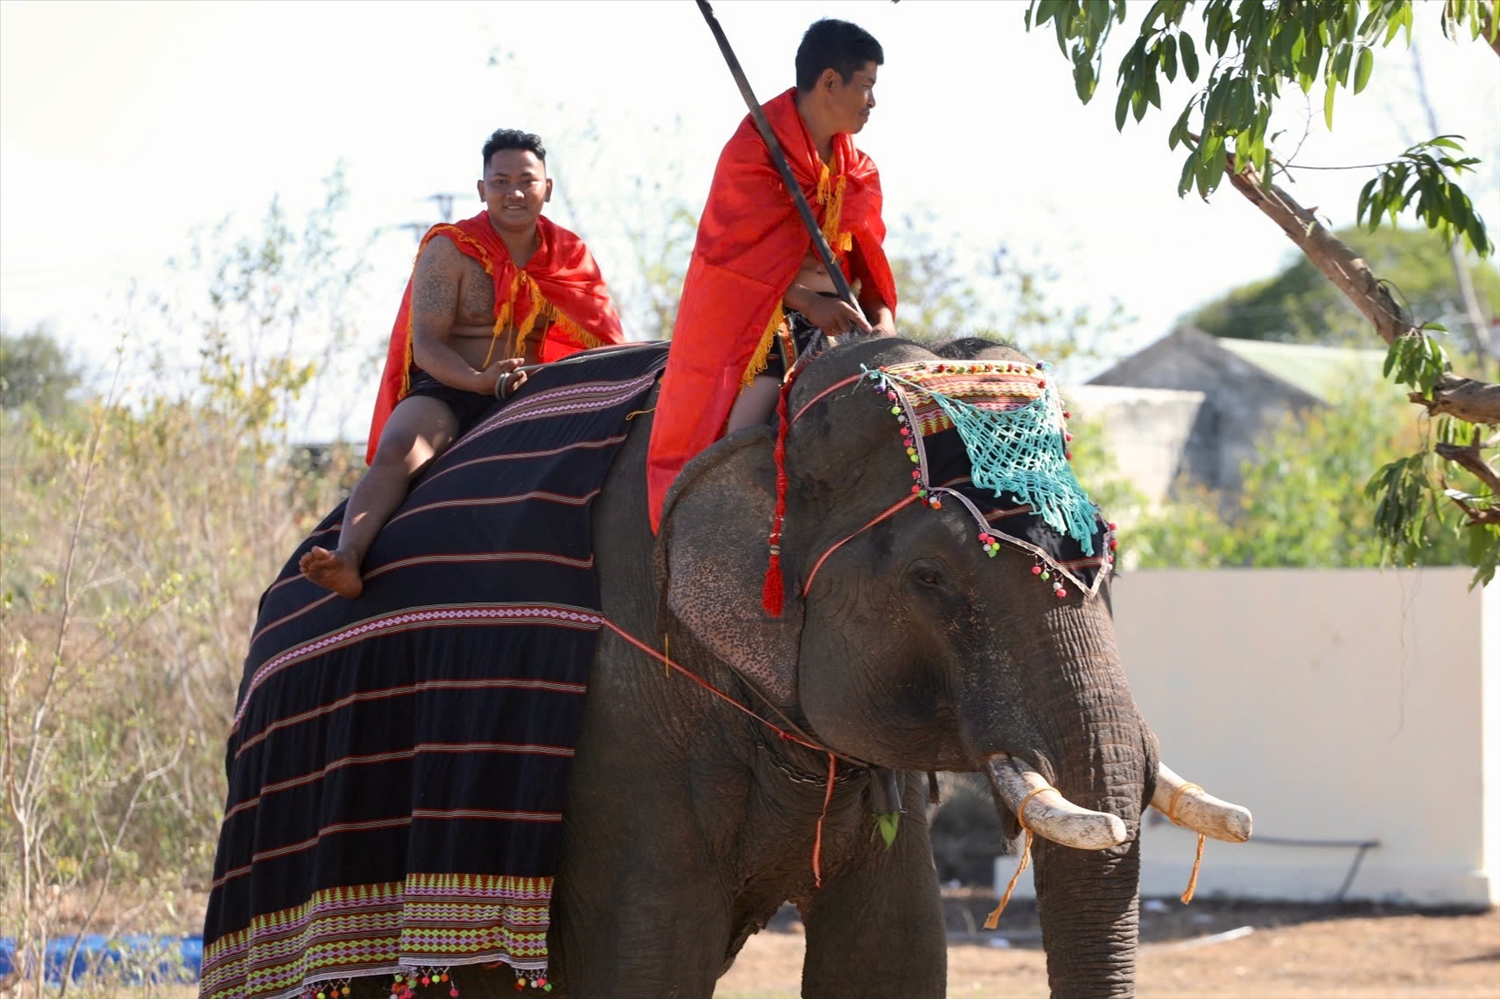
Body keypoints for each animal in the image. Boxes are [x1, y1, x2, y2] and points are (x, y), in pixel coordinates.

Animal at [337, 336, 1242, 996]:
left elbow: (892, 963)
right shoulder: (620, 728)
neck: (766, 432)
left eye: (1108, 556)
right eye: (930, 578)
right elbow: (647, 966)